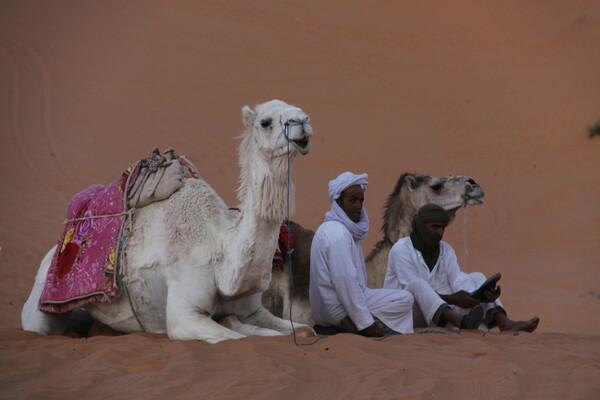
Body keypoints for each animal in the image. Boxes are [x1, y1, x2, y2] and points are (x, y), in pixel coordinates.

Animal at [19, 100, 314, 344]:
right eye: (265, 122)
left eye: (299, 109)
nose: (302, 121)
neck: (221, 249)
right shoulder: (184, 317)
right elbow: (237, 338)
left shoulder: (254, 311)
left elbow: (304, 330)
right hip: (42, 298)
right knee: (39, 327)